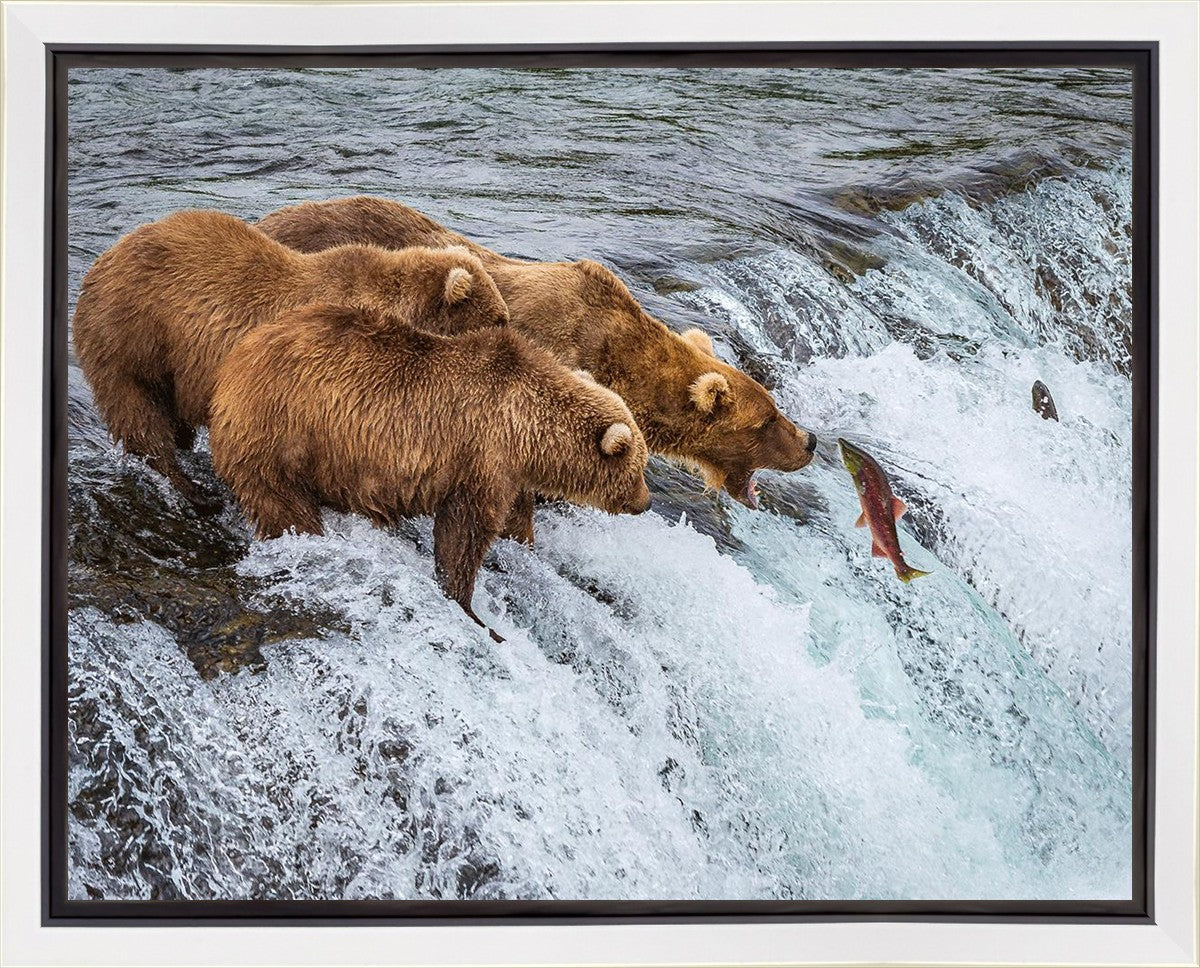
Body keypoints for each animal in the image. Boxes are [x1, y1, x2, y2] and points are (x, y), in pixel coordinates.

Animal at [72, 209, 510, 507]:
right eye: (500, 318)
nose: (512, 334)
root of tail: (101, 262)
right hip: (132, 337)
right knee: (139, 414)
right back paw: (191, 488)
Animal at [209, 303, 651, 641]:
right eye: (639, 468)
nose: (646, 502)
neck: (527, 429)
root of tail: (233, 365)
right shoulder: (481, 456)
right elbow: (464, 533)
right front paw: (471, 609)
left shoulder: (509, 472)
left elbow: (513, 520)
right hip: (282, 433)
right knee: (283, 504)